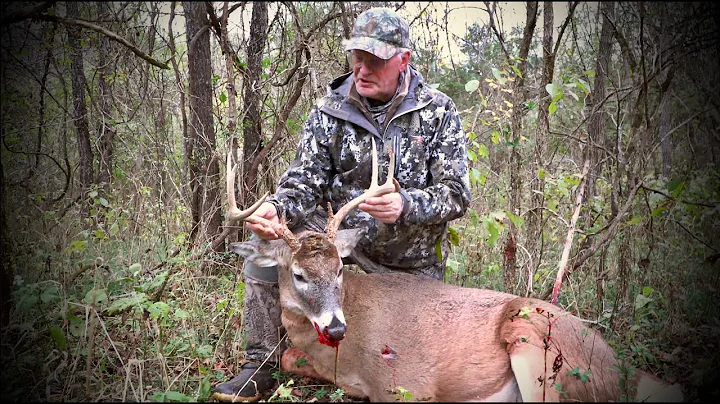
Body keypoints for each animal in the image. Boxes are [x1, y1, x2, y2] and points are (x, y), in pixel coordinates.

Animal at [224, 139, 683, 402]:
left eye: (339, 269)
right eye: (299, 275)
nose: (335, 327)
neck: (346, 354)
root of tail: (624, 373)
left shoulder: (407, 383)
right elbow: (287, 356)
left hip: (536, 344)